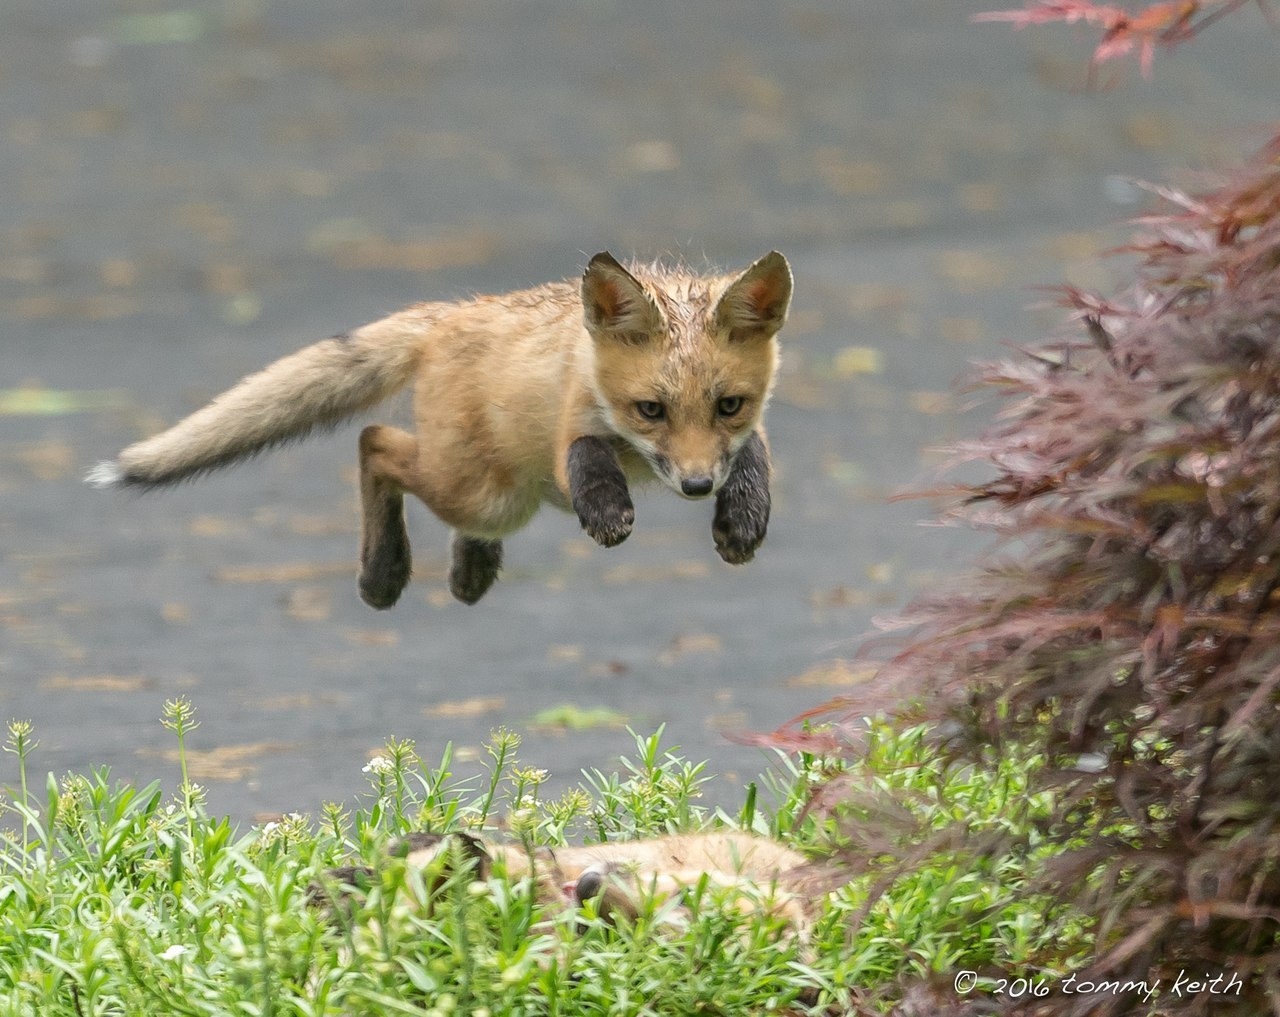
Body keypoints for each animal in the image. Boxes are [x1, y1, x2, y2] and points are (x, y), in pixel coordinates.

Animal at [87, 252, 788, 608]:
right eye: (650, 410)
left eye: (729, 405)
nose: (696, 489)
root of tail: (448, 313)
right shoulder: (574, 431)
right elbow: (587, 453)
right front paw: (609, 509)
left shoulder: (739, 436)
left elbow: (755, 454)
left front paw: (743, 518)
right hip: (490, 492)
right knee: (374, 442)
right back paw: (383, 574)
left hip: (495, 498)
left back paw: (470, 570)